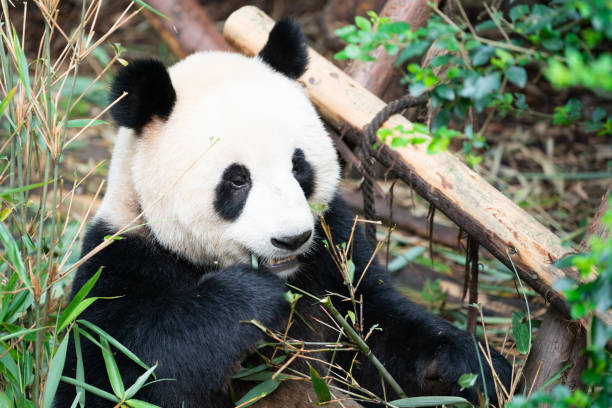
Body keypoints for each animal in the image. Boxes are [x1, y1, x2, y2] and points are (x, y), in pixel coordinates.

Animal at [56, 19, 512, 408]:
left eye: (298, 165)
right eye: (237, 180)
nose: (291, 239)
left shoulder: (334, 249)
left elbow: (375, 332)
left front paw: (471, 366)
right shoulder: (121, 263)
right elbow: (115, 373)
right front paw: (249, 299)